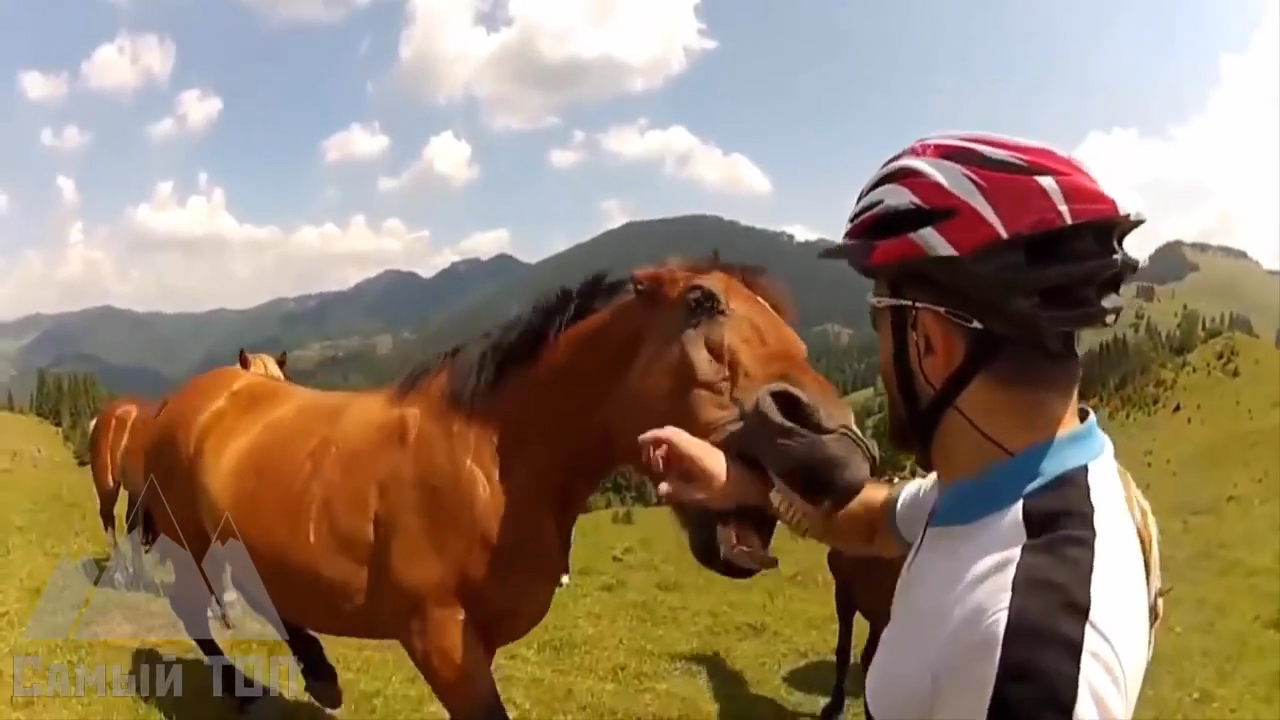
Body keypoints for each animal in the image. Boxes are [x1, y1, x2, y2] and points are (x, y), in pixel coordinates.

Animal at [132, 256, 876, 719]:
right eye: (702, 302)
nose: (841, 449)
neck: (491, 462)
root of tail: (179, 404)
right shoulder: (443, 646)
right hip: (185, 543)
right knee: (191, 610)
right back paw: (242, 686)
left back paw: (317, 673)